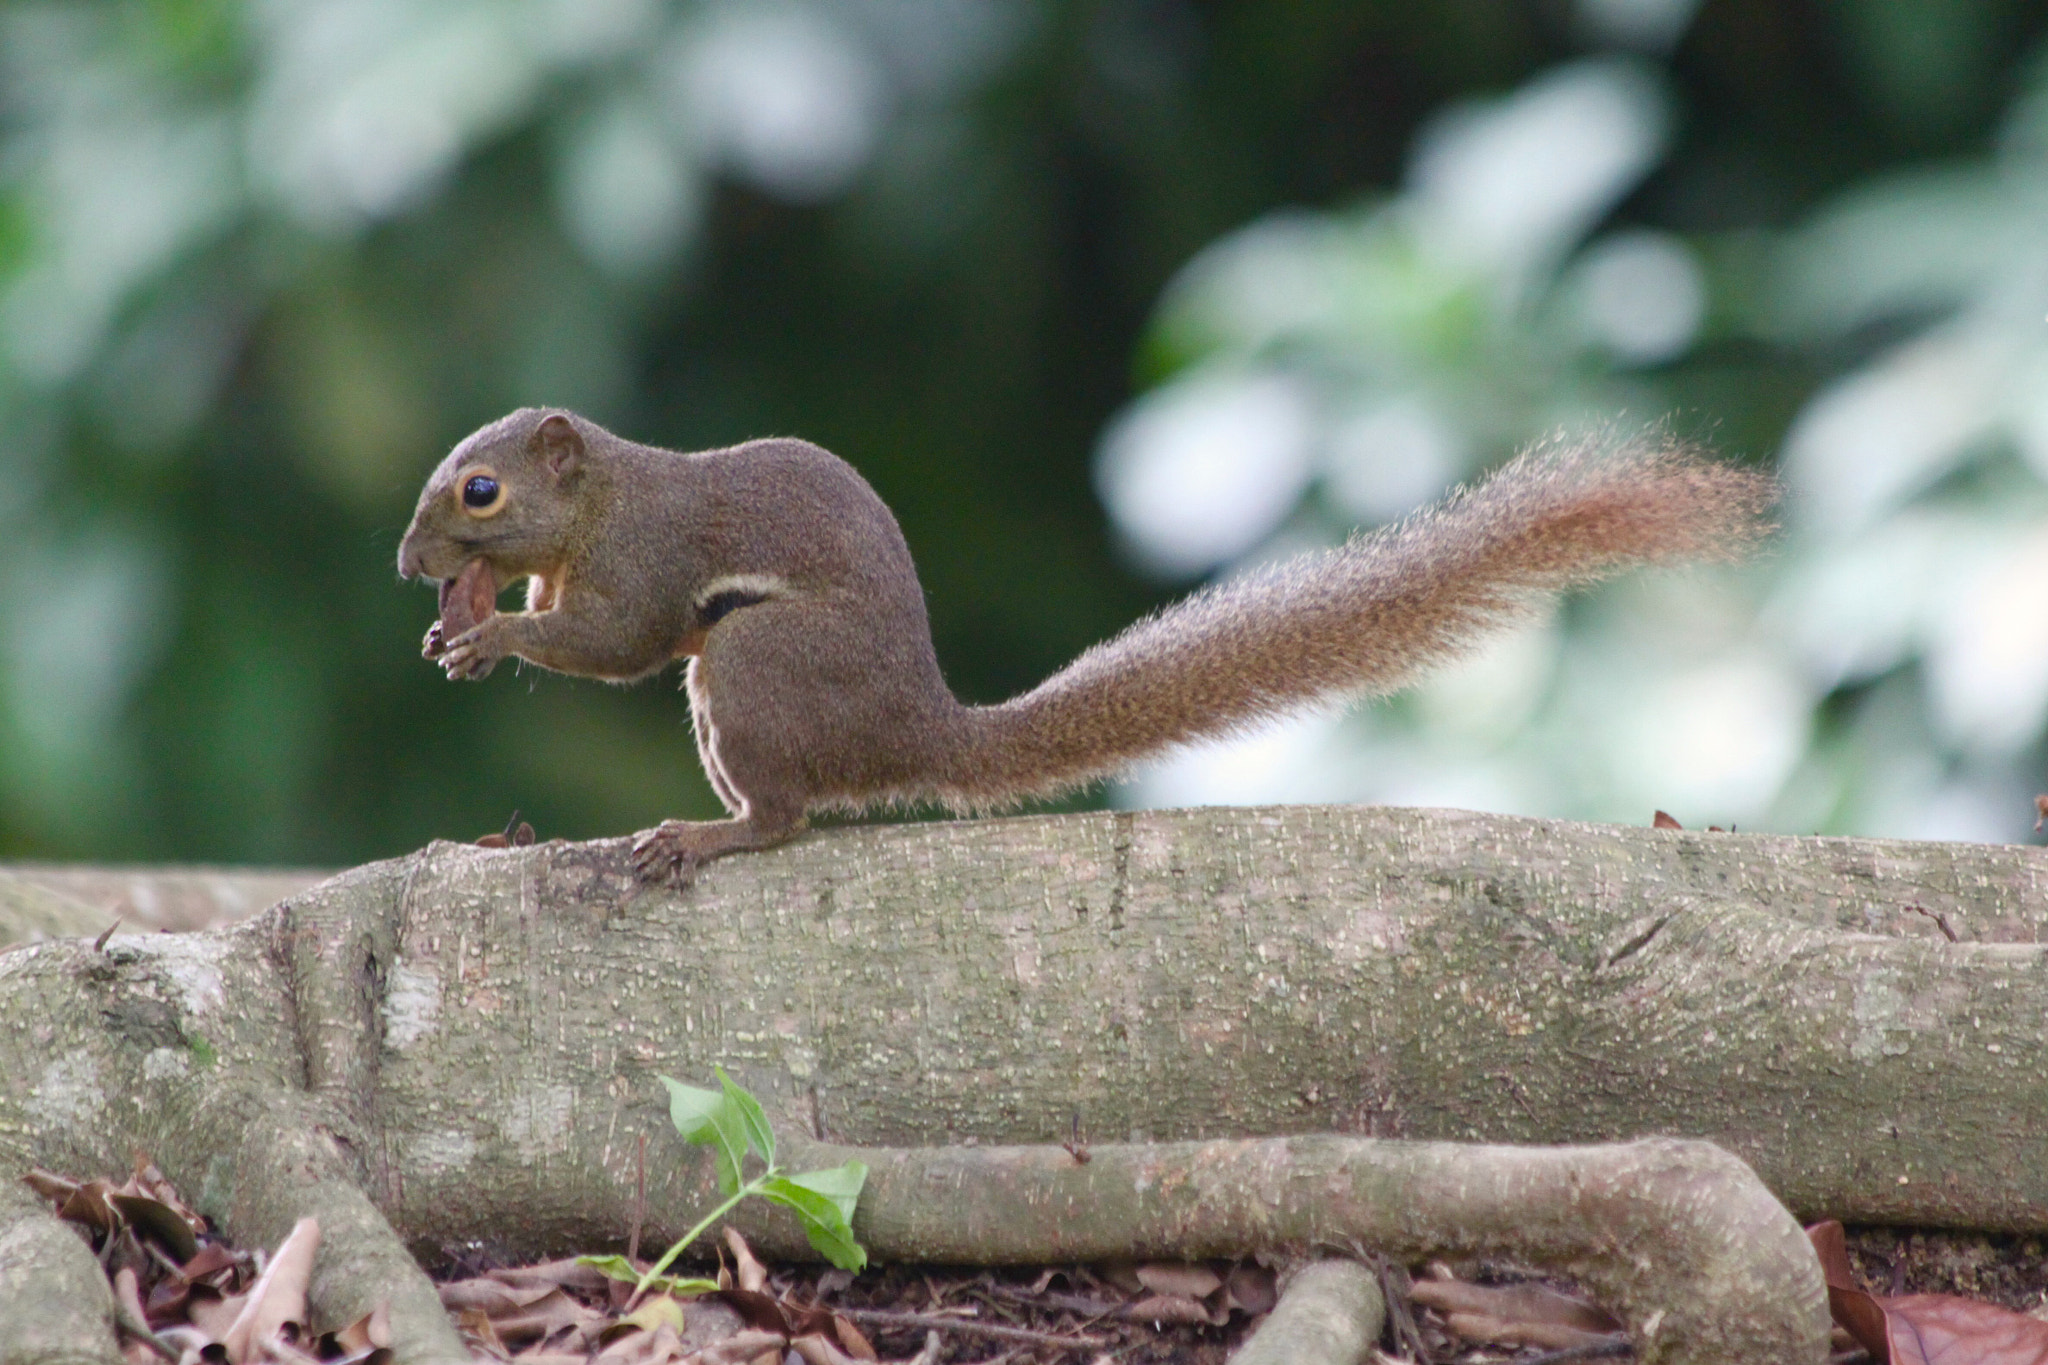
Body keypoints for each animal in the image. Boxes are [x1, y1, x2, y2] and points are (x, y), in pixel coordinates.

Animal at [399, 411, 1777, 879]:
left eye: (480, 491)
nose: (413, 562)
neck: (604, 502)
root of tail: (922, 725)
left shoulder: (645, 569)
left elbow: (617, 642)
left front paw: (494, 635)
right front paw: (463, 626)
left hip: (746, 669)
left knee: (784, 818)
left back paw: (705, 835)